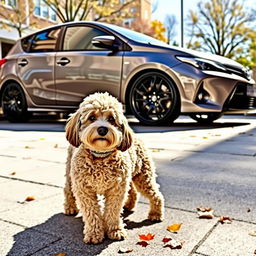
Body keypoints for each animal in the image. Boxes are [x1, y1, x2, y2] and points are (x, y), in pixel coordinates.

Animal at [63, 92, 164, 244]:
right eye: (92, 117)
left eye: (111, 119)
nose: (102, 129)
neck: (100, 156)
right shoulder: (84, 189)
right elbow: (92, 213)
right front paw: (94, 234)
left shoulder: (117, 189)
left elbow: (113, 211)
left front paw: (115, 230)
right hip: (71, 174)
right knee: (68, 190)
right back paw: (70, 208)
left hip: (143, 176)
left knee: (153, 194)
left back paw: (155, 213)